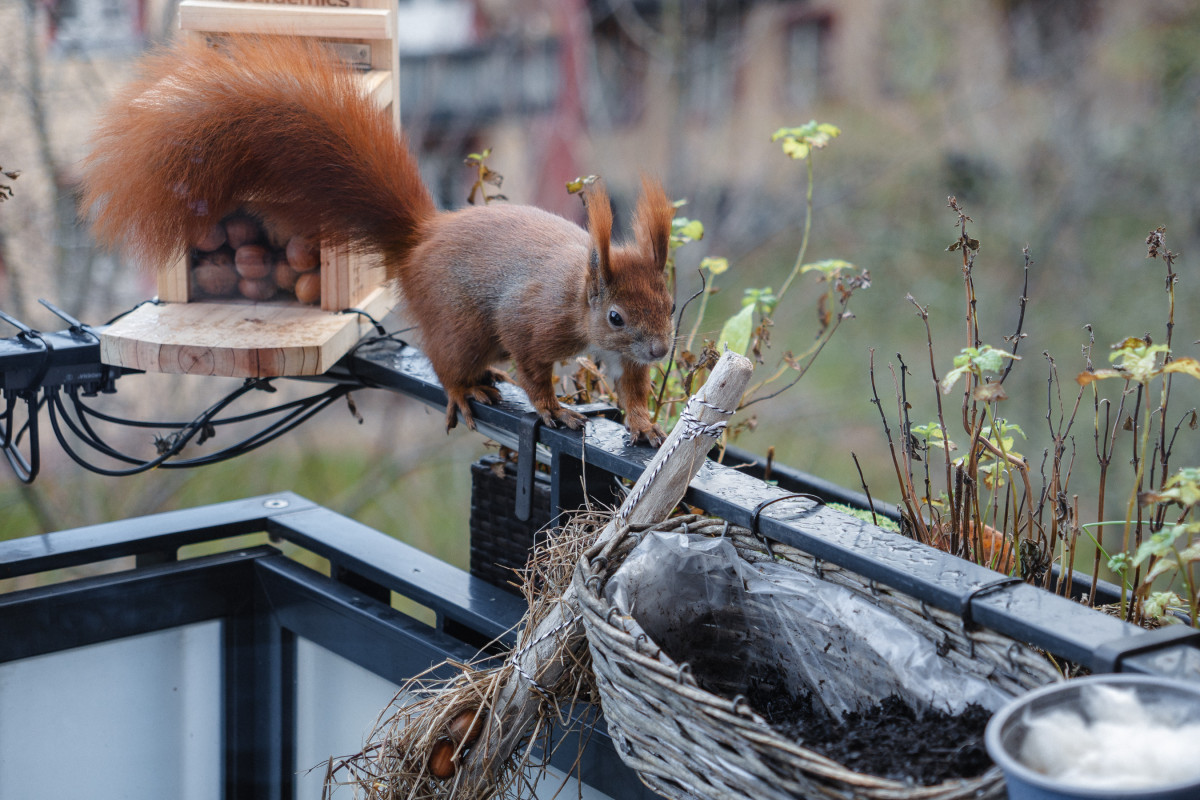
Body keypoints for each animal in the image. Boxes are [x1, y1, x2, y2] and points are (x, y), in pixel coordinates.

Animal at [79, 35, 676, 443]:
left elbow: (632, 386)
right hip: (461, 323)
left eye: (670, 305)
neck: (579, 297)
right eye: (616, 316)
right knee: (445, 360)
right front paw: (551, 408)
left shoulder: (624, 359)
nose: (662, 348)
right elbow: (533, 371)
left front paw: (643, 423)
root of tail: (419, 238)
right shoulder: (531, 321)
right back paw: (464, 387)